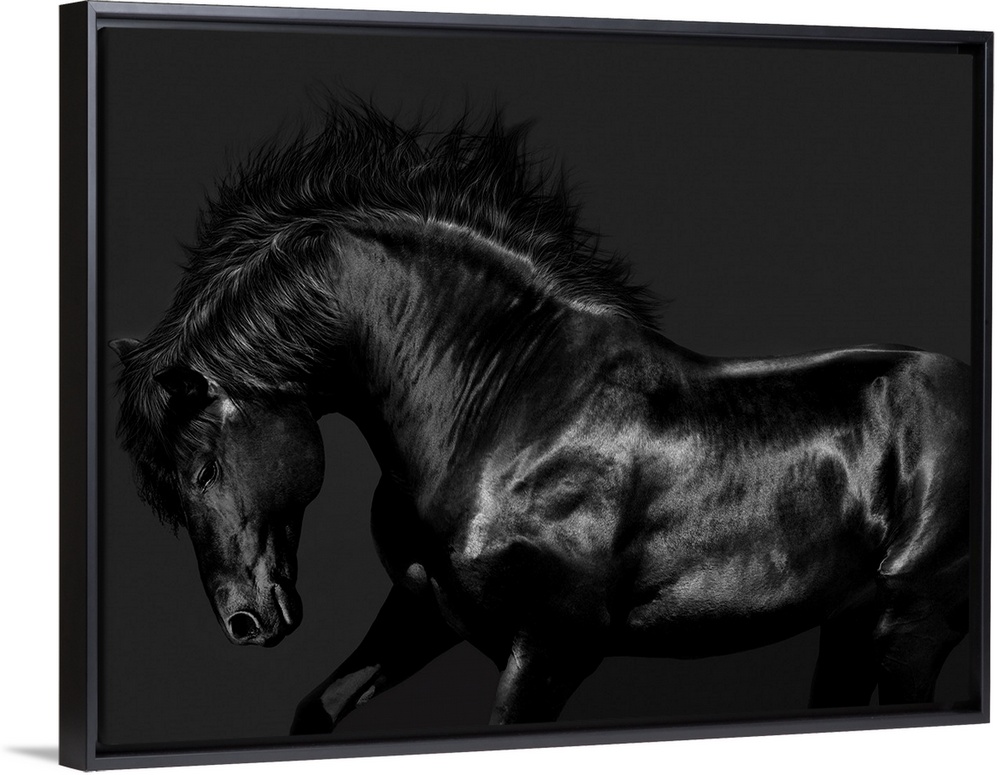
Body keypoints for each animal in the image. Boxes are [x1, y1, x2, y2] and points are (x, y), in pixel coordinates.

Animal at [111, 103, 970, 733]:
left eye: (200, 467)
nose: (245, 620)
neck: (507, 416)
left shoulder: (551, 646)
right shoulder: (422, 610)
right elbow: (315, 707)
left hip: (912, 622)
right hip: (850, 623)